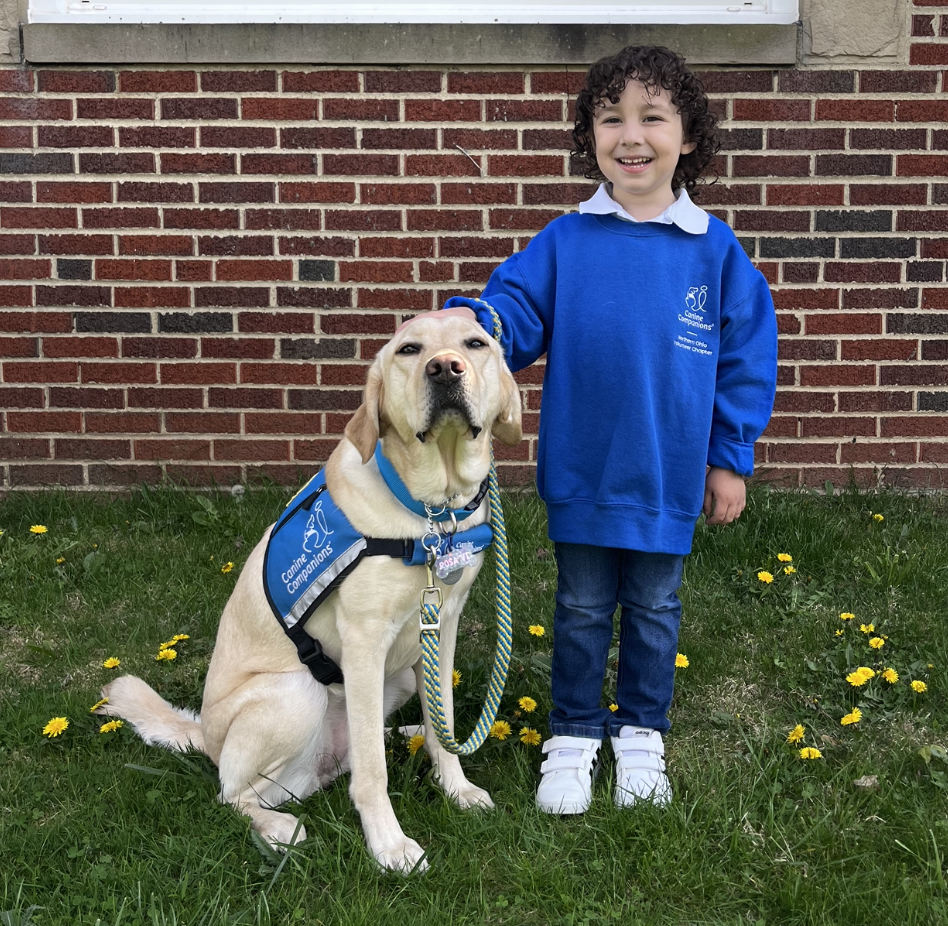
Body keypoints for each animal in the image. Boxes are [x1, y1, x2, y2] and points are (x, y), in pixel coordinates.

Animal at [98, 314, 520, 876]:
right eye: (409, 350)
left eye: (476, 344)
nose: (445, 368)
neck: (432, 512)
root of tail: (208, 740)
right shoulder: (364, 641)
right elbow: (373, 772)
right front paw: (388, 845)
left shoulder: (443, 625)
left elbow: (443, 720)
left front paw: (456, 786)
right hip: (298, 693)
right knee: (238, 793)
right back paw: (280, 829)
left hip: (393, 678)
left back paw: (407, 736)